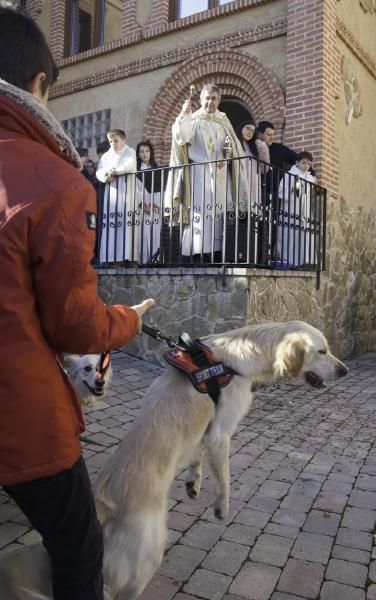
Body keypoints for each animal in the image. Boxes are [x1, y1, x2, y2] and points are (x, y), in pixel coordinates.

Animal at [0, 322, 348, 596]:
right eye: (322, 351)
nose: (344, 370)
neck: (236, 360)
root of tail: (102, 506)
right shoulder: (221, 432)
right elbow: (224, 476)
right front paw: (222, 507)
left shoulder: (203, 432)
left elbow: (197, 456)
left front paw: (193, 482)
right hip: (146, 556)